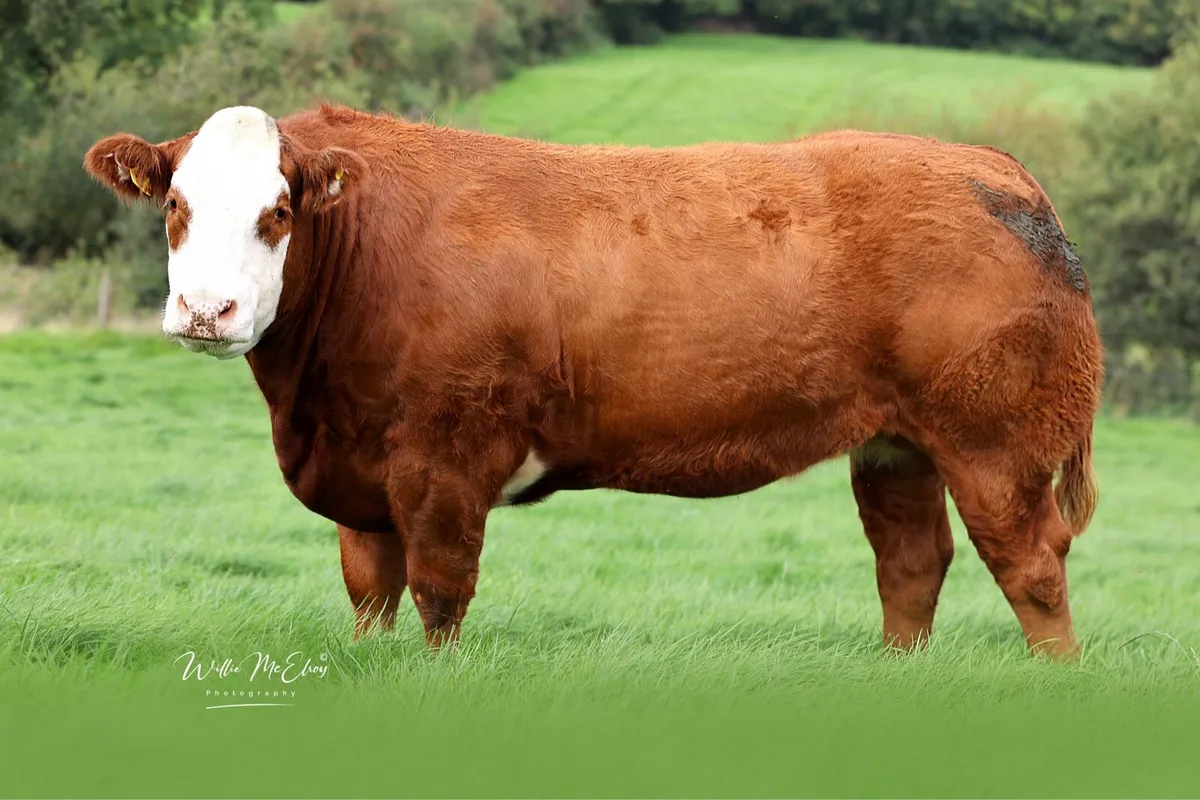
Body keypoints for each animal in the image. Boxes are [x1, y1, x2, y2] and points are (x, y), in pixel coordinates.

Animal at [83, 103, 1103, 660]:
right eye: (175, 207)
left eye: (280, 210)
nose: (207, 310)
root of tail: (987, 165)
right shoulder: (362, 470)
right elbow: (369, 592)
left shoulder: (444, 462)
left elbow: (440, 594)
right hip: (896, 445)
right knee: (911, 565)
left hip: (994, 442)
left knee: (1030, 568)